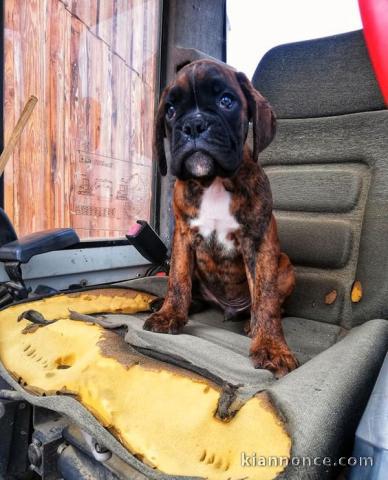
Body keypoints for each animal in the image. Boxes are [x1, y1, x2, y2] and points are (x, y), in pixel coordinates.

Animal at [144, 60, 298, 376]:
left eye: (227, 101)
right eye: (170, 110)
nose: (193, 125)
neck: (213, 181)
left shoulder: (258, 242)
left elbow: (265, 297)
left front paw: (272, 346)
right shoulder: (183, 237)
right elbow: (177, 281)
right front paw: (170, 314)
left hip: (286, 266)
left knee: (270, 304)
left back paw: (252, 324)